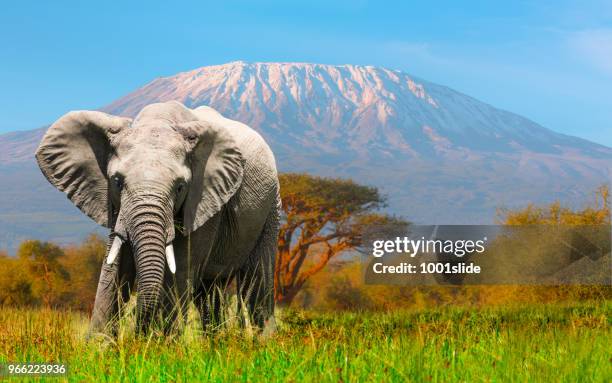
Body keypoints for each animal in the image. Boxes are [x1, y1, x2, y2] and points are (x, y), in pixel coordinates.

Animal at [35, 100, 280, 334]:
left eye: (180, 187)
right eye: (117, 181)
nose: (138, 330)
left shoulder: (204, 202)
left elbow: (179, 269)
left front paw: (160, 344)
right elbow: (114, 268)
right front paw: (100, 345)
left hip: (271, 205)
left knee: (256, 284)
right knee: (209, 293)